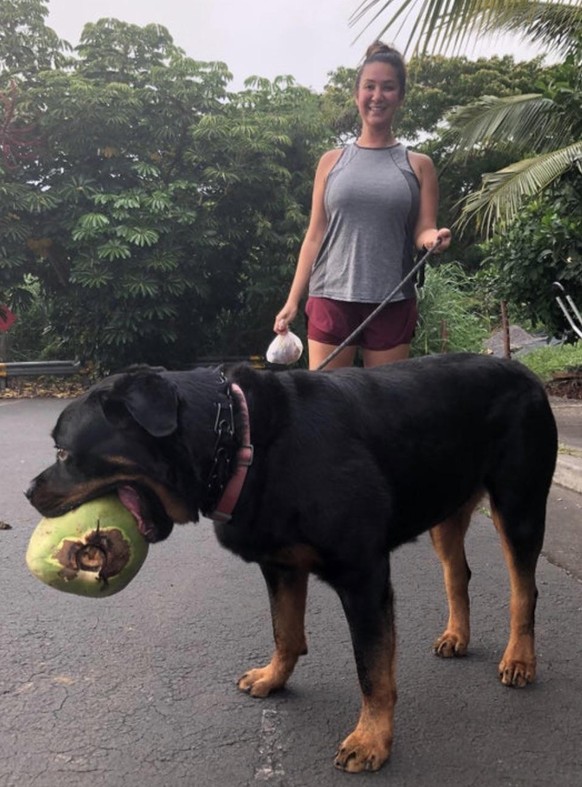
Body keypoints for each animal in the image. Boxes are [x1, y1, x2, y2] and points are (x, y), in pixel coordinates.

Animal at [28, 354, 560, 772]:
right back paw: (457, 635)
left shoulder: (363, 577)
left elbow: (373, 669)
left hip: (518, 507)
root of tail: (525, 372)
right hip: (446, 512)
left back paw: (519, 659)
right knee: (457, 573)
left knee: (524, 588)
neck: (239, 443)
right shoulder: (280, 565)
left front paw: (371, 739)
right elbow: (285, 630)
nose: (28, 492)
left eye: (64, 452)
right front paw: (273, 677)